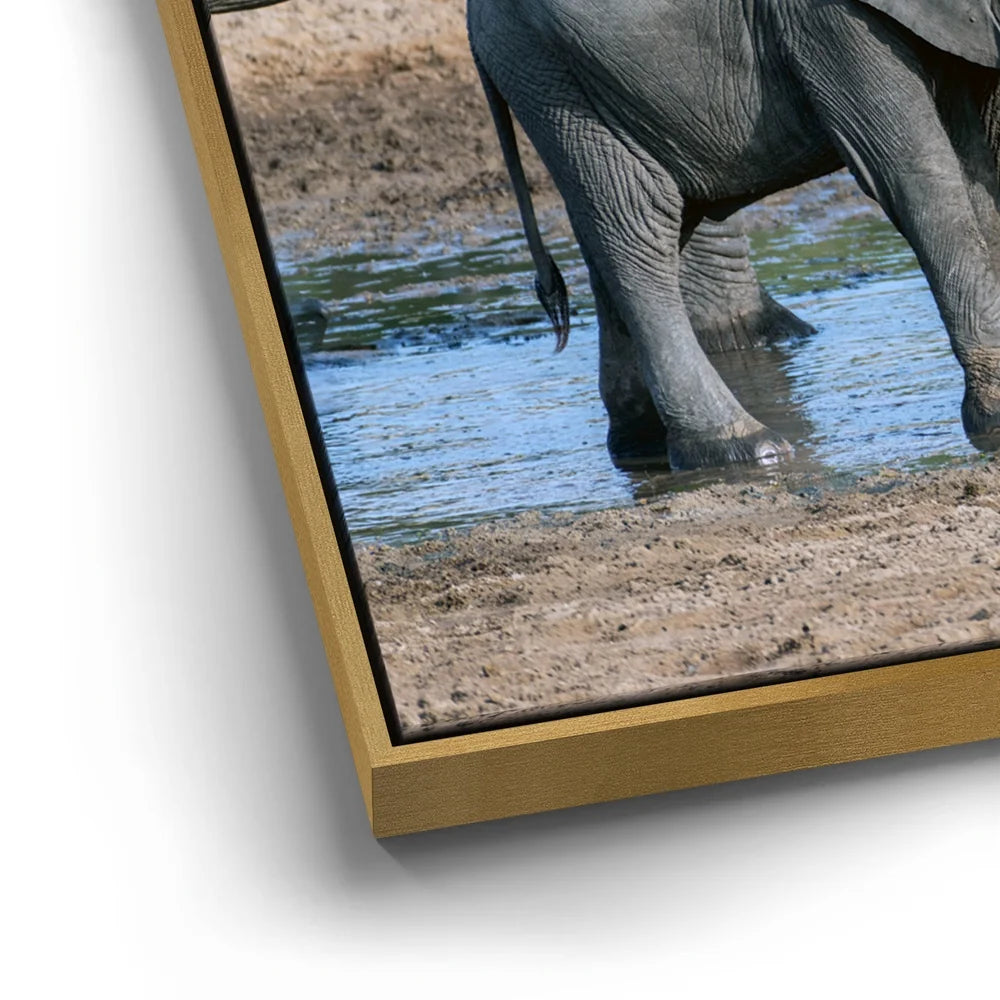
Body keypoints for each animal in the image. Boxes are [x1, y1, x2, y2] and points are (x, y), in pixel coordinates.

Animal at [468, 0, 1000, 470]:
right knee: (638, 226)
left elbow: (980, 162)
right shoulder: (827, 21)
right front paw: (992, 418)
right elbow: (911, 175)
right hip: (552, 77)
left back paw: (642, 447)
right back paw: (742, 448)